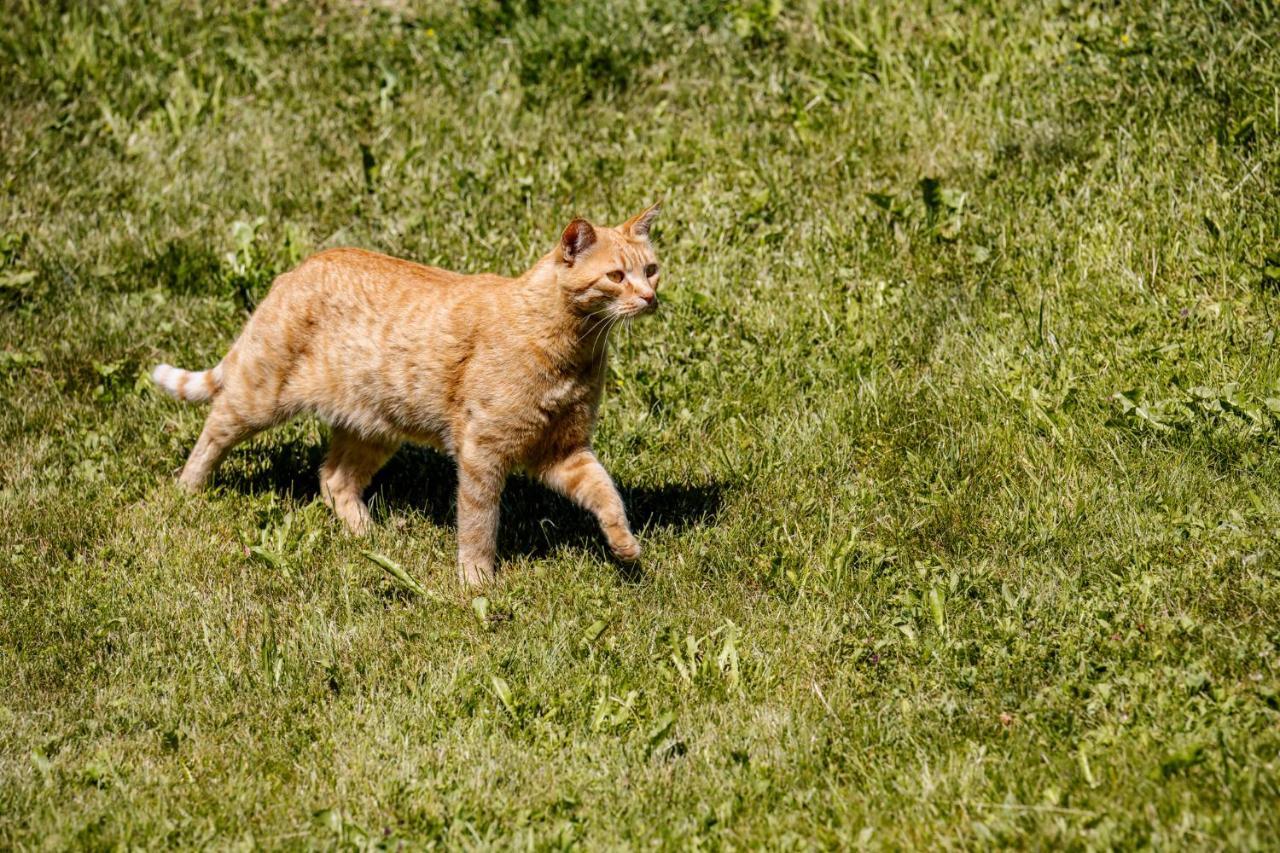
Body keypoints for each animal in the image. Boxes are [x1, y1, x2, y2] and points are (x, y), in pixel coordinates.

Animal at [154, 204, 665, 584]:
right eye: (617, 277)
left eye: (652, 270)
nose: (649, 298)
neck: (573, 347)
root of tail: (294, 271)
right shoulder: (482, 452)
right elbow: (478, 523)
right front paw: (477, 581)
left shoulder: (565, 451)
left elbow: (605, 494)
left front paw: (625, 546)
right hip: (260, 396)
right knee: (216, 428)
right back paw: (188, 490)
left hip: (374, 428)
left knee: (333, 479)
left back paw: (367, 535)